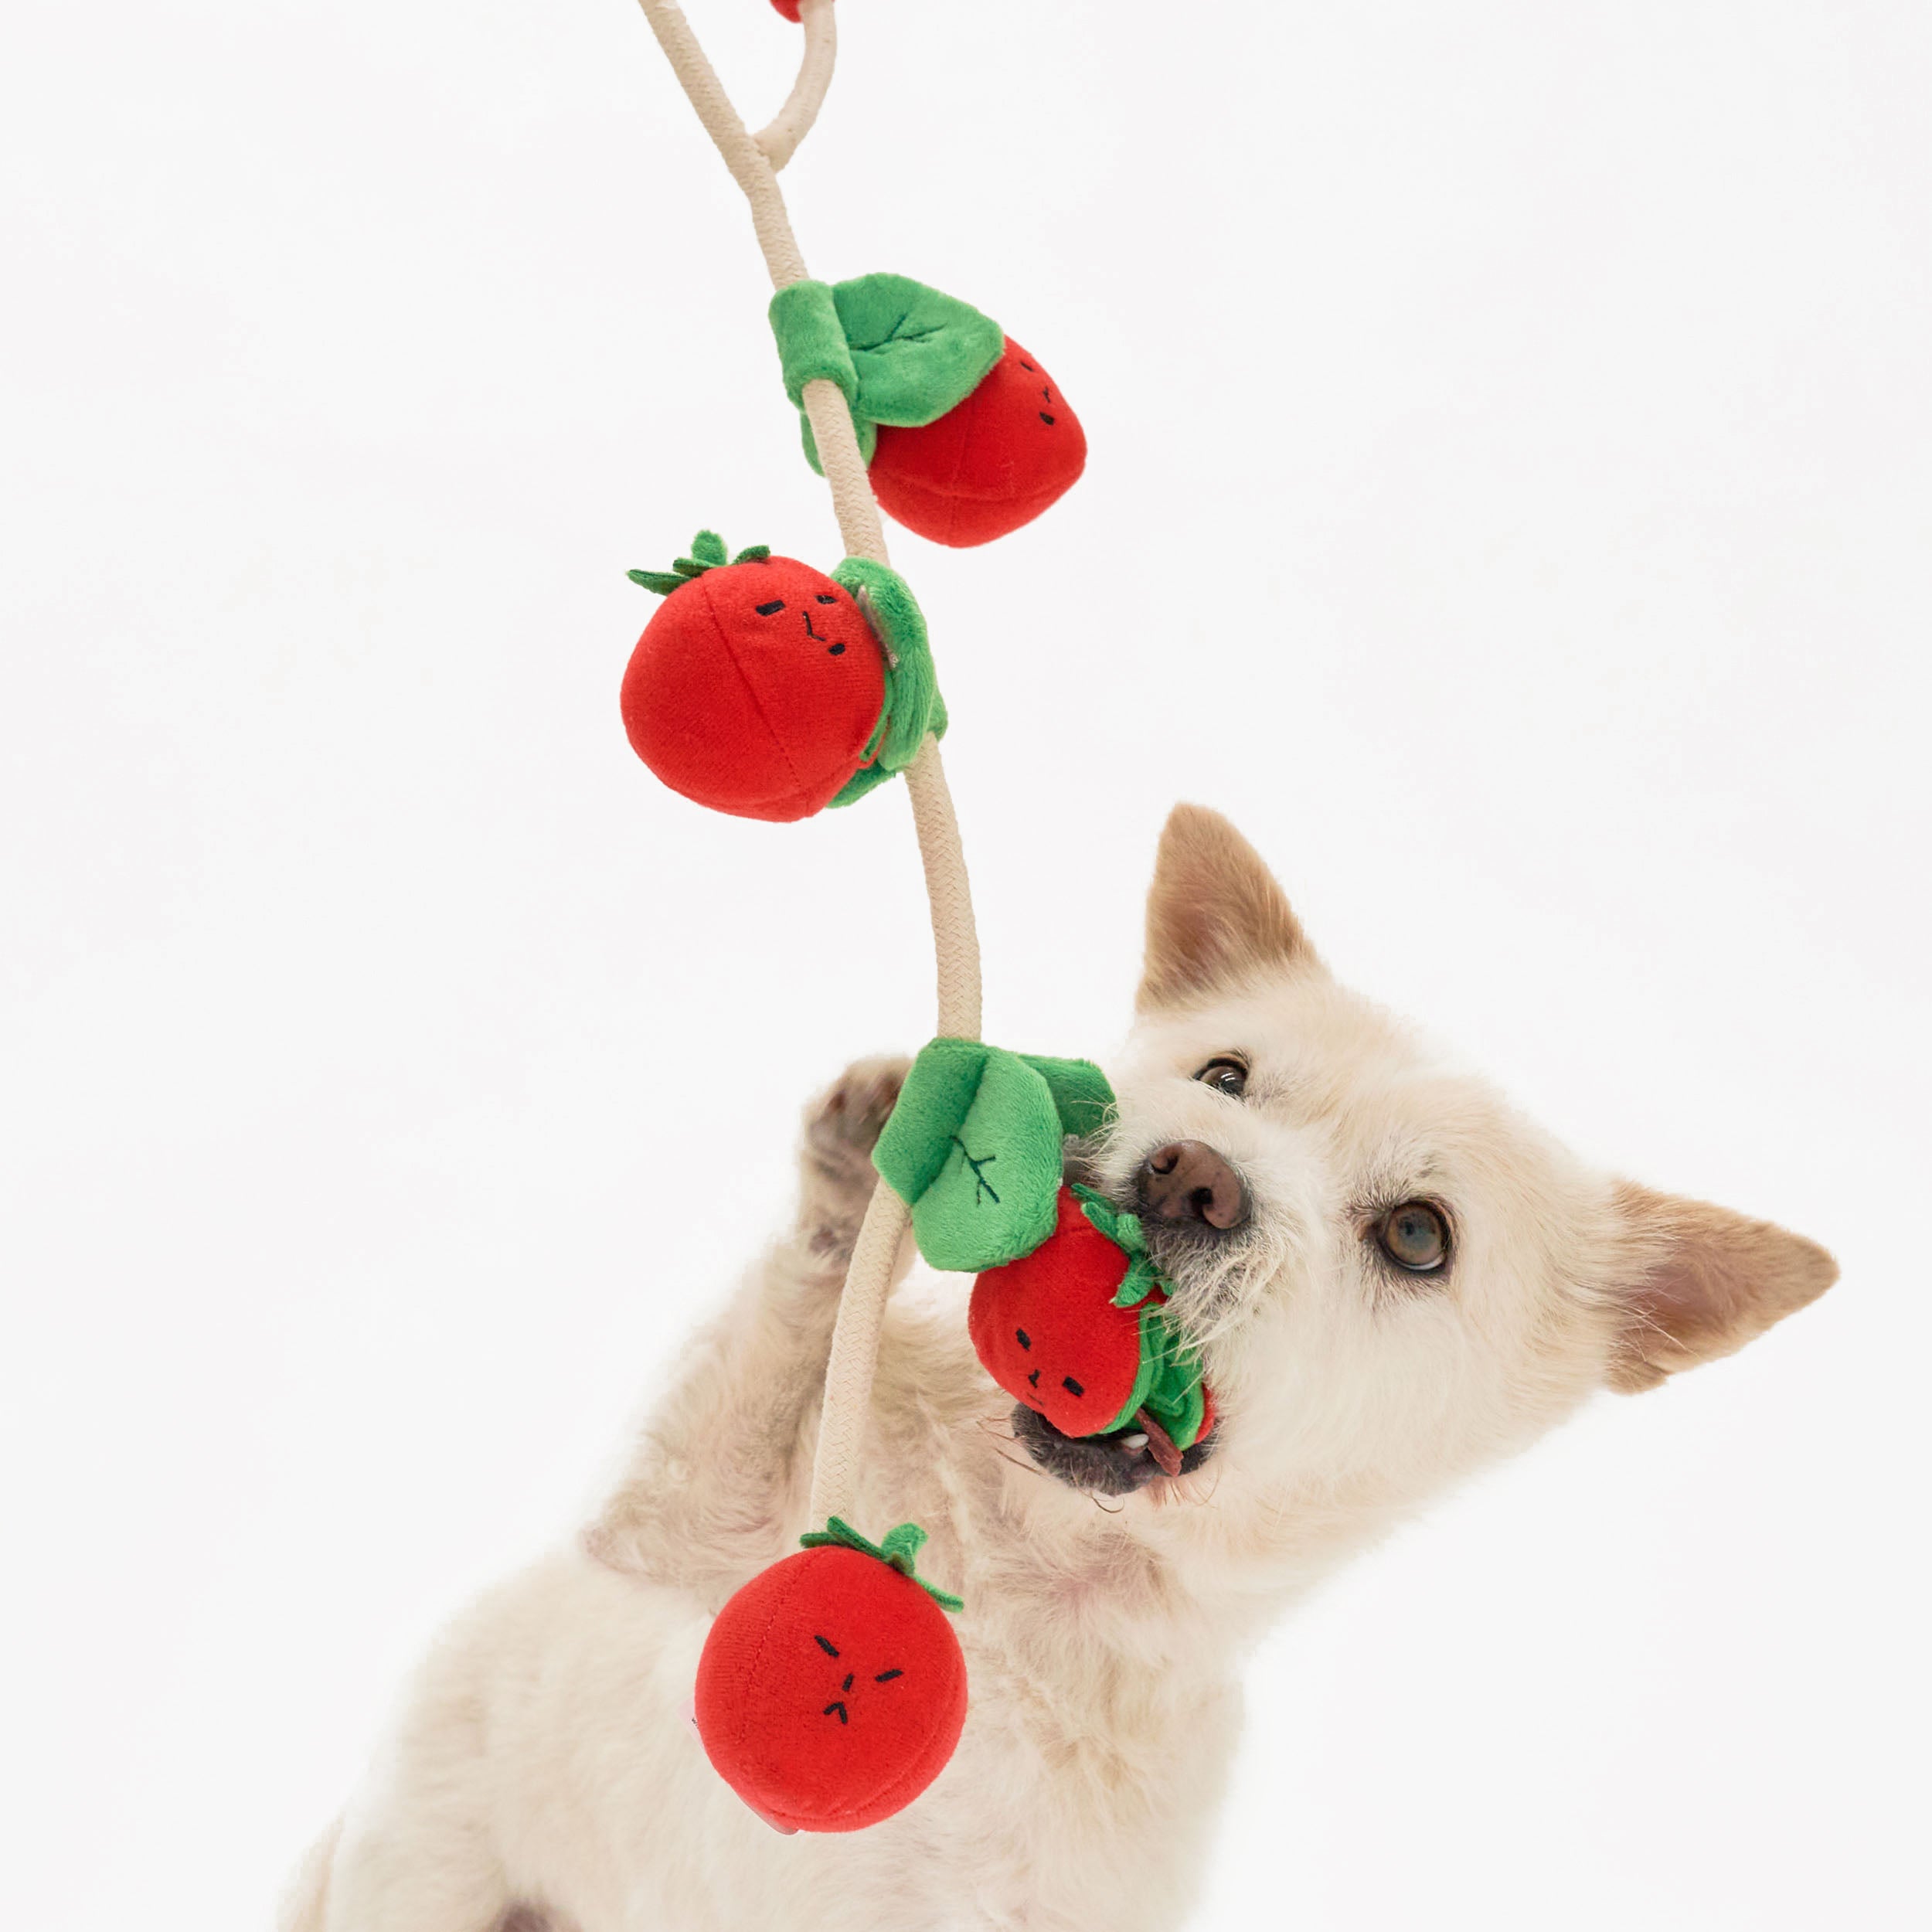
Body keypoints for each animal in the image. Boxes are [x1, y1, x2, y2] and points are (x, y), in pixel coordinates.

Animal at [290, 808, 1839, 1932]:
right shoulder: (671, 1527)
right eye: (1224, 1079)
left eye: (1417, 1237)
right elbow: (781, 1334)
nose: (1192, 1175)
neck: (1039, 1582)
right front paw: (862, 1166)